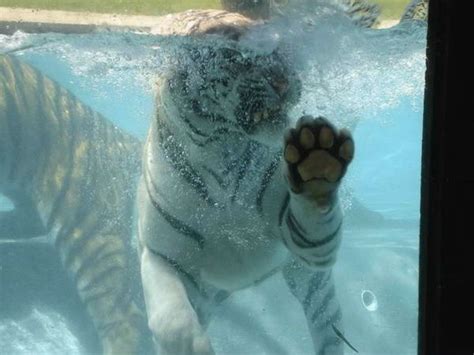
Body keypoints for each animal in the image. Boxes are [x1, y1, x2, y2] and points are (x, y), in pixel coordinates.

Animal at [137, 15, 356, 355]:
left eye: (278, 46)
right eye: (231, 55)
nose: (284, 81)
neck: (218, 150)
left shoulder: (308, 245)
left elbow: (314, 225)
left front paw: (316, 168)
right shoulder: (162, 254)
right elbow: (172, 322)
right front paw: (195, 347)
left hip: (310, 282)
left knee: (328, 330)